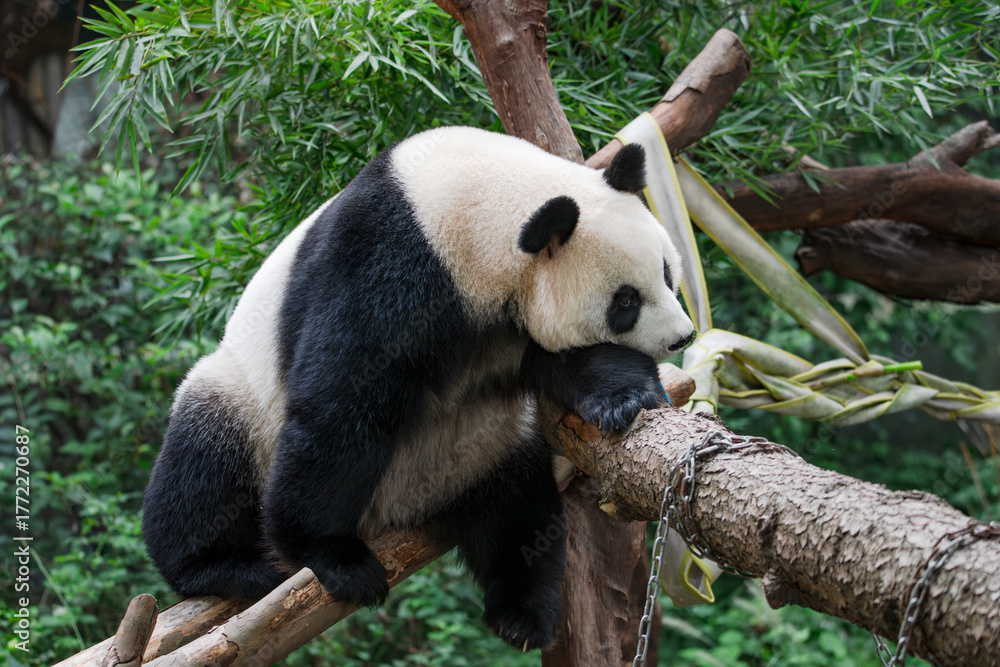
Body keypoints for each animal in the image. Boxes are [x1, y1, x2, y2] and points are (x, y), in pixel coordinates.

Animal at [141, 126, 695, 651]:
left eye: (668, 271)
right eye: (625, 301)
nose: (683, 336)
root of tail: (399, 512)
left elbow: (573, 359)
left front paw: (626, 398)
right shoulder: (389, 261)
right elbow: (344, 403)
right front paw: (333, 559)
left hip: (484, 447)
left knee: (520, 514)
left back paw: (522, 614)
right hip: (243, 400)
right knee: (205, 457)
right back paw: (222, 567)